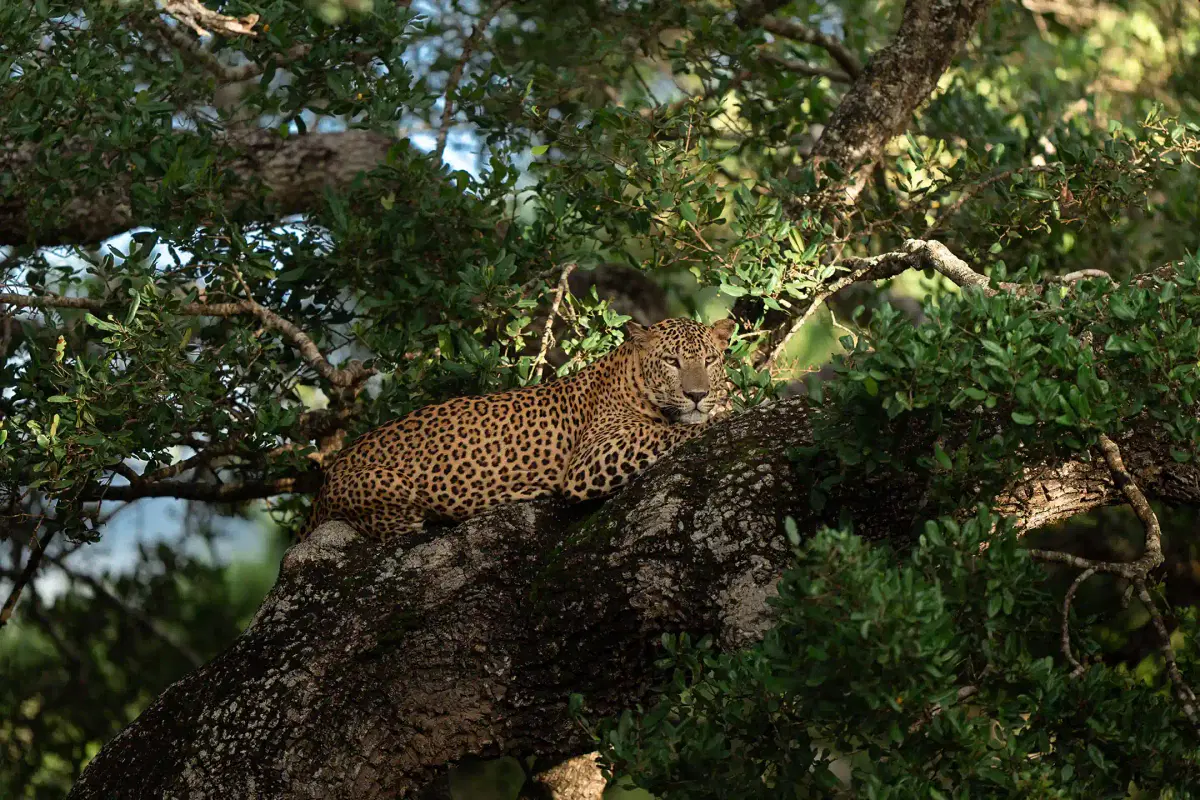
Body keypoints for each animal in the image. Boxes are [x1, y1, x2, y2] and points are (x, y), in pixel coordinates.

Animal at [300, 316, 734, 542]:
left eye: (710, 360)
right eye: (672, 361)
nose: (697, 394)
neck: (632, 376)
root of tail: (323, 485)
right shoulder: (590, 460)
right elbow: (666, 433)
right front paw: (721, 414)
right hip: (390, 485)